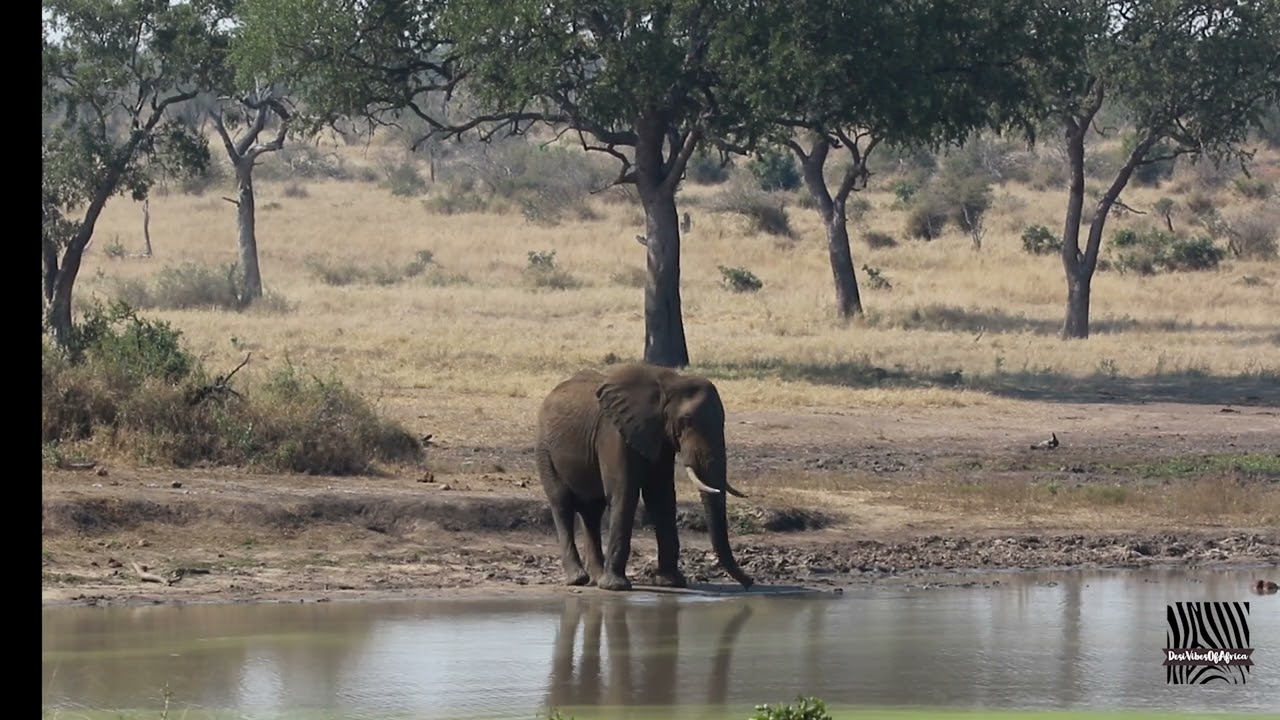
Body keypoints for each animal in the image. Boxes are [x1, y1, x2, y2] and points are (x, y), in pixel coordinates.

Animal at [534, 363, 754, 591]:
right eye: (686, 421)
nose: (750, 583)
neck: (670, 383)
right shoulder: (614, 432)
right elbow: (624, 492)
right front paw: (616, 587)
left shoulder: (660, 437)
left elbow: (661, 495)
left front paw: (670, 582)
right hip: (544, 450)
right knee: (562, 505)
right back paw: (578, 579)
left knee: (592, 512)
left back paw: (595, 579)